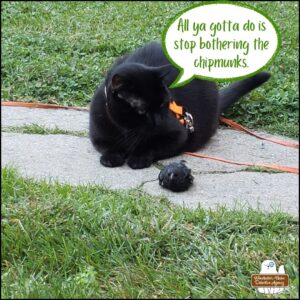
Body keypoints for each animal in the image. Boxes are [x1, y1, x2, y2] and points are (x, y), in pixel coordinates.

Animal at [88, 41, 270, 170]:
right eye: (142, 110)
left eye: (163, 104)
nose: (158, 121)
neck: (127, 131)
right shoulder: (97, 134)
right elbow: (107, 146)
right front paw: (112, 156)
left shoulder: (178, 135)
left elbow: (152, 146)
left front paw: (139, 157)